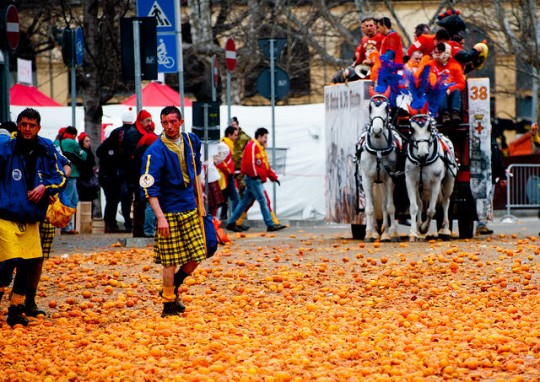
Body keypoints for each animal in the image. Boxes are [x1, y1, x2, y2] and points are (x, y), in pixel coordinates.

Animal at [358, 94, 400, 242]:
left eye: (386, 108)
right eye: (370, 108)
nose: (377, 130)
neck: (378, 151)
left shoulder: (389, 179)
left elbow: (389, 207)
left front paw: (390, 234)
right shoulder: (367, 179)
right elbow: (369, 208)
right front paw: (369, 233)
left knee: (384, 204)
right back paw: (375, 231)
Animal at [404, 112, 456, 242]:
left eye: (429, 128)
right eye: (412, 129)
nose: (422, 154)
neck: (422, 161)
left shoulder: (435, 182)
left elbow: (431, 210)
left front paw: (424, 228)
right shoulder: (410, 181)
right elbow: (414, 207)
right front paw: (414, 232)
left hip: (449, 181)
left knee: (445, 201)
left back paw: (445, 229)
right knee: (420, 203)